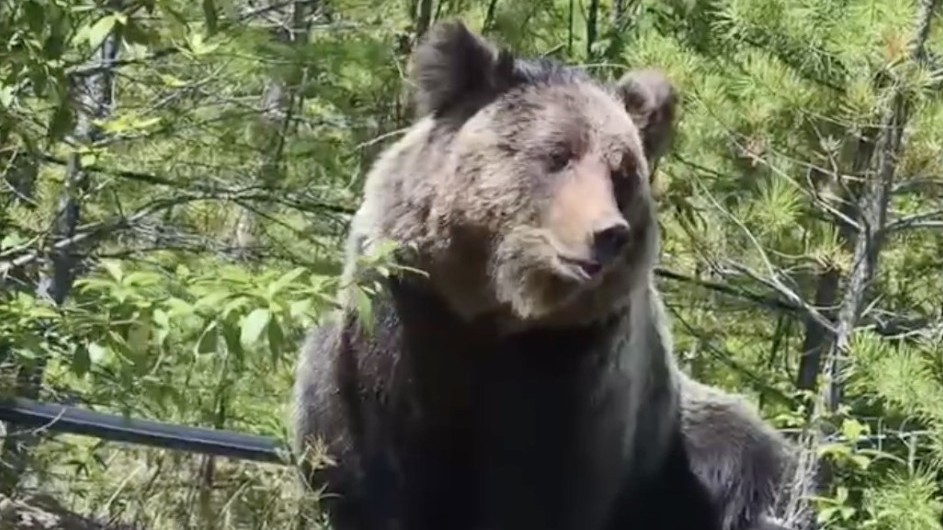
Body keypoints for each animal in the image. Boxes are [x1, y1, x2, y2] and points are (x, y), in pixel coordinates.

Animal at [291, 19, 797, 530]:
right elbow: (392, 470)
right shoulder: (409, 317)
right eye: (558, 155)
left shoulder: (572, 363)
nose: (607, 233)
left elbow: (544, 486)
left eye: (622, 172)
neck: (498, 306)